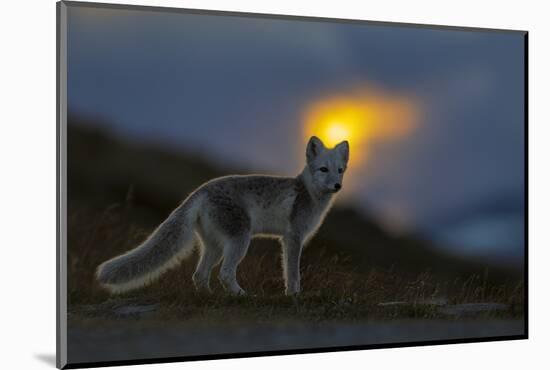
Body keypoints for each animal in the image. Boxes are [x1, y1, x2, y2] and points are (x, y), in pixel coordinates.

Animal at [96, 136, 350, 294]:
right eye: (323, 169)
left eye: (340, 170)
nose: (337, 186)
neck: (309, 193)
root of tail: (200, 190)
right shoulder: (293, 237)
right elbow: (293, 273)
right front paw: (294, 296)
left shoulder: (287, 239)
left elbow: (289, 271)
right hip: (240, 240)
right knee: (225, 273)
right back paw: (242, 296)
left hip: (215, 246)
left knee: (199, 275)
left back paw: (209, 297)